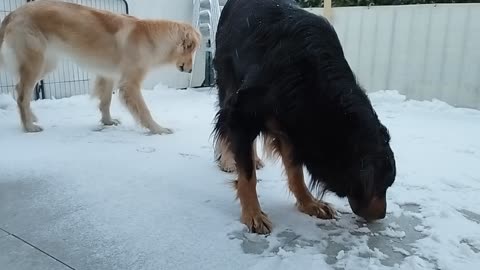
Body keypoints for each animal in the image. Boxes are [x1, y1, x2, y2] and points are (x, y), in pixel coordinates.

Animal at [0, 0, 201, 134]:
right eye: (191, 49)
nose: (191, 70)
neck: (149, 37)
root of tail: (13, 13)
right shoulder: (130, 84)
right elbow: (144, 109)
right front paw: (158, 129)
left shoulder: (108, 75)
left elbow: (105, 101)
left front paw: (107, 121)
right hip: (36, 62)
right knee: (22, 95)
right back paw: (29, 126)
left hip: (47, 63)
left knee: (20, 89)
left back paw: (31, 118)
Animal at [212, 0, 396, 234]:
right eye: (383, 185)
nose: (381, 215)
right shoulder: (242, 110)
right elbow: (247, 174)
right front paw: (253, 213)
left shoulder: (295, 124)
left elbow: (295, 168)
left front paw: (309, 203)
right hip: (227, 77)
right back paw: (229, 160)